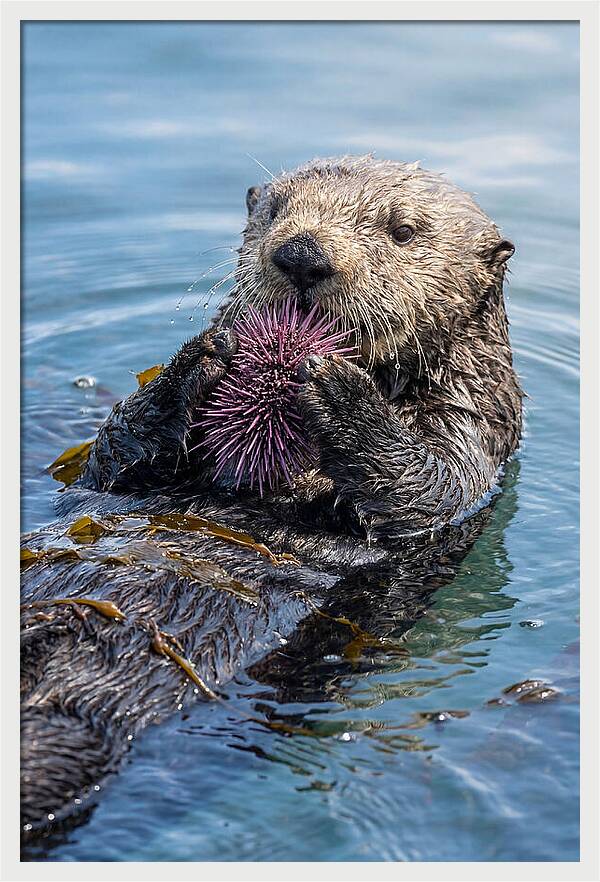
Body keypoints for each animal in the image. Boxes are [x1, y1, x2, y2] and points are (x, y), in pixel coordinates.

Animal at [20, 155, 522, 845]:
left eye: (401, 231)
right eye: (276, 210)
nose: (303, 255)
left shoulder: (474, 431)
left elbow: (427, 489)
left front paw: (339, 390)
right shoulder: (118, 472)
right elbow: (111, 460)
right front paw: (201, 358)